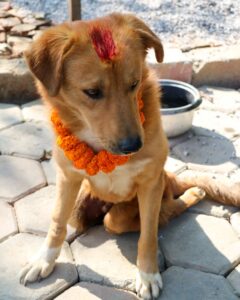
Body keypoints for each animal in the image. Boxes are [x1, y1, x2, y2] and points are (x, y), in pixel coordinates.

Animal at [20, 13, 240, 298]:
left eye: (134, 84)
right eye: (92, 92)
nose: (133, 145)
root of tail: (172, 179)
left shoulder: (150, 183)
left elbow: (148, 235)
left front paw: (147, 275)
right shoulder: (68, 177)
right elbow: (57, 220)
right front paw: (44, 260)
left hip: (144, 199)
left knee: (164, 212)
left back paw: (194, 193)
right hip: (82, 203)